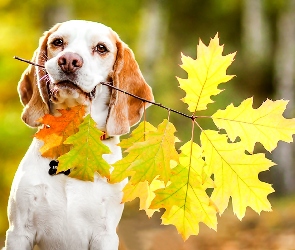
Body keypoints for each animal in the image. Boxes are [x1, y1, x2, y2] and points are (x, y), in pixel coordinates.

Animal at [4, 20, 155, 250]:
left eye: (101, 48)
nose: (69, 60)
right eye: (58, 42)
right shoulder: (19, 232)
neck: (74, 138)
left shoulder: (105, 237)